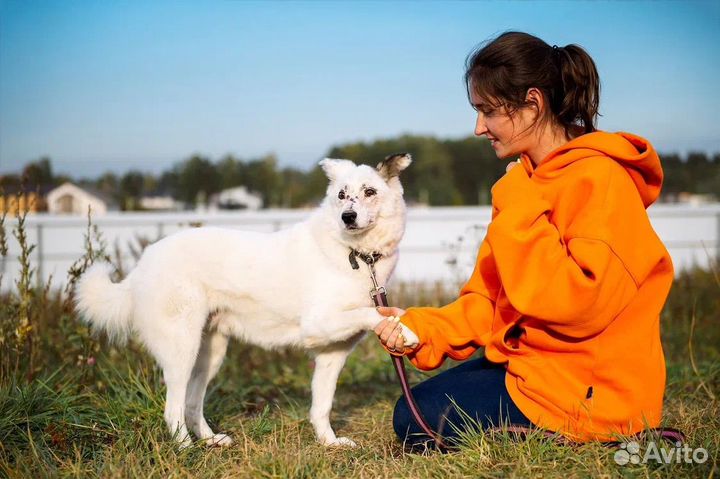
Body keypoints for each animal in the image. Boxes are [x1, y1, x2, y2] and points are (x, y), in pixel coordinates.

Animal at [74, 155, 416, 450]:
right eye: (342, 195)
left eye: (369, 192)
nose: (347, 217)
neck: (358, 255)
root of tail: (142, 264)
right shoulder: (318, 323)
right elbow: (373, 315)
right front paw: (406, 331)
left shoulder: (332, 354)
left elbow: (322, 406)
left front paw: (329, 443)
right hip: (182, 349)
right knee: (173, 408)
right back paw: (186, 448)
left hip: (210, 353)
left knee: (192, 404)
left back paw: (211, 440)